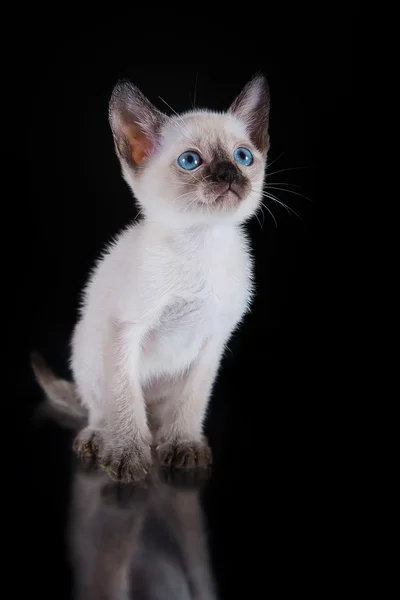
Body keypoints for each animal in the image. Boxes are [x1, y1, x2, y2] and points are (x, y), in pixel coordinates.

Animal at [31, 74, 270, 482]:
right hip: (87, 352)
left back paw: (160, 437)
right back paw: (100, 440)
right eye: (190, 161)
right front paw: (127, 455)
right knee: (100, 409)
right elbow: (126, 400)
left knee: (157, 419)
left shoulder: (214, 339)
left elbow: (192, 401)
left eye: (243, 157)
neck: (199, 243)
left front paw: (183, 444)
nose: (229, 175)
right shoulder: (124, 330)